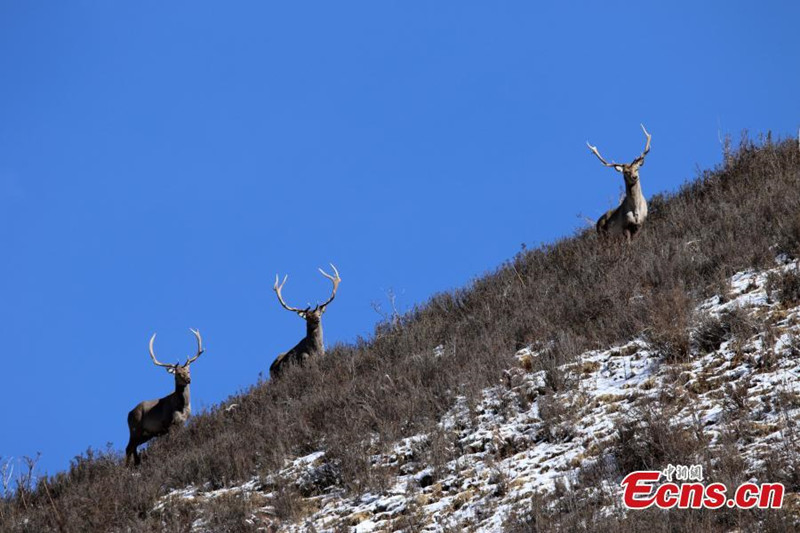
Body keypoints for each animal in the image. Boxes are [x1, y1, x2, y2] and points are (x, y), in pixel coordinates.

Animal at [125, 328, 205, 466]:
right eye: (178, 373)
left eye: (188, 371)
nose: (188, 379)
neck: (182, 406)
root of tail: (128, 414)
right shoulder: (167, 423)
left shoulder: (182, 422)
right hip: (135, 429)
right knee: (128, 448)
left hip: (146, 434)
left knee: (133, 448)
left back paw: (136, 465)